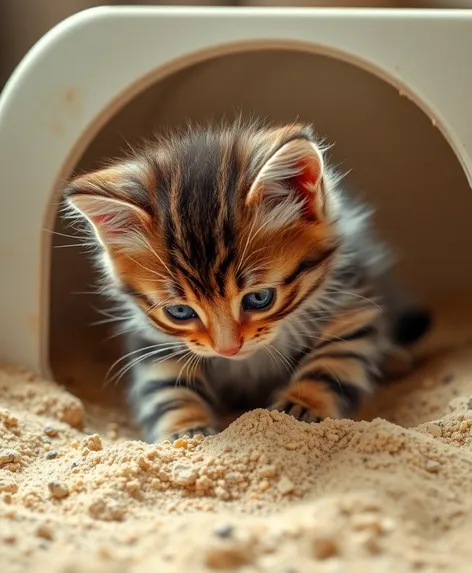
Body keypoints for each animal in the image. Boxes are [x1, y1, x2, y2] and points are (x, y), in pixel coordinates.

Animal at [63, 120, 432, 442]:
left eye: (259, 299)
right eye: (180, 312)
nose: (228, 349)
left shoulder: (351, 299)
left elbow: (333, 360)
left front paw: (302, 406)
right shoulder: (153, 337)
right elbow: (166, 385)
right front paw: (185, 429)